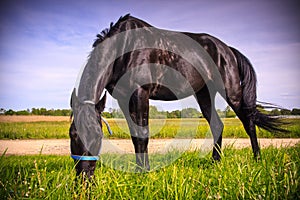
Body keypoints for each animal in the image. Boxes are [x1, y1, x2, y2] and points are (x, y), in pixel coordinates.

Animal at [69, 14, 284, 177]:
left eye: (98, 136)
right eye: (72, 135)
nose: (84, 176)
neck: (123, 47)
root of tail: (227, 49)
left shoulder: (140, 94)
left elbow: (142, 134)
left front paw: (144, 172)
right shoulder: (124, 98)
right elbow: (134, 135)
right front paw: (140, 169)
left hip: (232, 92)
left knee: (249, 122)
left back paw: (257, 159)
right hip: (204, 94)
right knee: (217, 125)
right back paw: (215, 163)